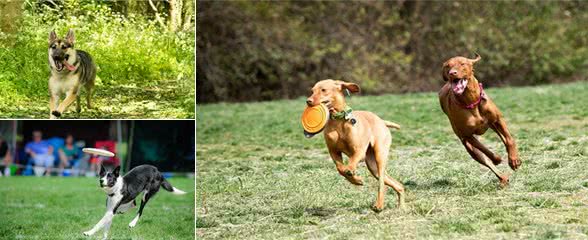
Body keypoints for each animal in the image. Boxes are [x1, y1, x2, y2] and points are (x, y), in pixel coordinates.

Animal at [306, 79, 402, 212]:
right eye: (312, 91)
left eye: (323, 90)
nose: (308, 101)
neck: (339, 121)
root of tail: (382, 121)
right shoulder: (333, 152)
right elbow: (340, 169)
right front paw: (356, 180)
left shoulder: (359, 151)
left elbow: (351, 163)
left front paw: (352, 172)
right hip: (372, 166)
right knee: (399, 185)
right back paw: (402, 207)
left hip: (379, 156)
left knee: (382, 184)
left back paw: (379, 205)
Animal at [438, 54, 520, 186]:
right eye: (447, 66)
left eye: (462, 63)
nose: (452, 73)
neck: (471, 101)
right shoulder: (467, 136)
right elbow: (485, 151)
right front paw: (497, 159)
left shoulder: (498, 120)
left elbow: (509, 140)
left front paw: (513, 159)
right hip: (468, 146)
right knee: (486, 161)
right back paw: (502, 178)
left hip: (493, 125)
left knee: (504, 138)